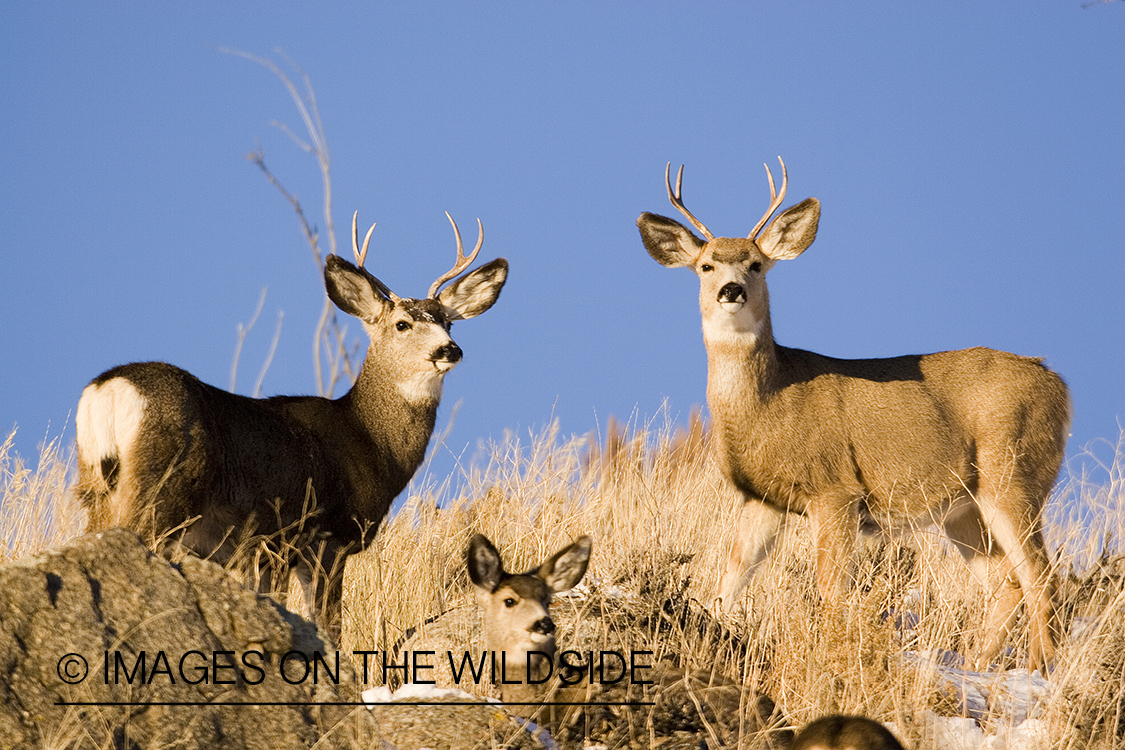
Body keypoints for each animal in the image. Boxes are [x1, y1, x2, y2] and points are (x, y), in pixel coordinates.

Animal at [73, 212, 506, 634]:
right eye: (402, 324)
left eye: (448, 322)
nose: (449, 349)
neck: (369, 442)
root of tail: (108, 388)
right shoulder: (321, 536)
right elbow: (328, 625)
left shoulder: (265, 551)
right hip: (163, 486)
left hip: (96, 486)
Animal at [643, 159, 1071, 670]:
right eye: (705, 265)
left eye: (756, 264)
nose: (731, 290)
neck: (769, 401)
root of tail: (1058, 384)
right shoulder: (762, 497)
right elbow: (729, 581)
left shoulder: (835, 489)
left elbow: (831, 590)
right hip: (963, 506)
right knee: (1006, 582)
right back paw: (976, 666)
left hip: (1013, 473)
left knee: (1041, 576)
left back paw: (1043, 669)